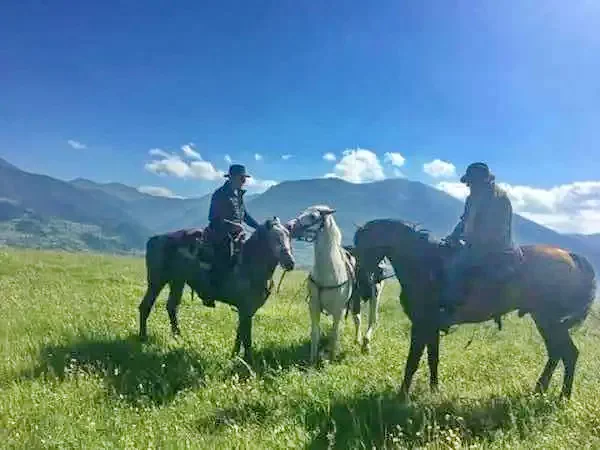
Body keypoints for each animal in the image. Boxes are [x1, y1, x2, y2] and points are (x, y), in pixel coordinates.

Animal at [137, 216, 296, 364]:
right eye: (275, 238)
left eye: (288, 236)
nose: (290, 263)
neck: (249, 263)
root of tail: (154, 239)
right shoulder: (245, 308)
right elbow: (246, 337)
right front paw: (247, 360)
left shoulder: (247, 310)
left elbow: (240, 333)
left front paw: (234, 355)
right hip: (157, 281)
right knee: (146, 306)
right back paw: (143, 337)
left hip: (177, 281)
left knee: (171, 306)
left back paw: (178, 337)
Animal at [294, 206, 384, 364]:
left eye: (313, 216)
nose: (291, 226)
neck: (329, 271)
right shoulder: (314, 307)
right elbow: (315, 333)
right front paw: (312, 361)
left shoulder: (338, 310)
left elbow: (334, 334)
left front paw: (331, 359)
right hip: (354, 301)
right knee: (358, 319)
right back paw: (357, 340)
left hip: (375, 296)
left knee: (372, 320)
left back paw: (366, 345)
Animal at [352, 220, 596, 400]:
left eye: (362, 246)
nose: (365, 283)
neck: (424, 264)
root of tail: (572, 256)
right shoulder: (431, 327)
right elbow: (432, 359)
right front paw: (433, 390)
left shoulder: (421, 325)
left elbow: (412, 361)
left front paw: (402, 395)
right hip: (545, 320)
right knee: (557, 353)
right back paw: (540, 390)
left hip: (549, 320)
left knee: (568, 353)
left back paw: (563, 396)